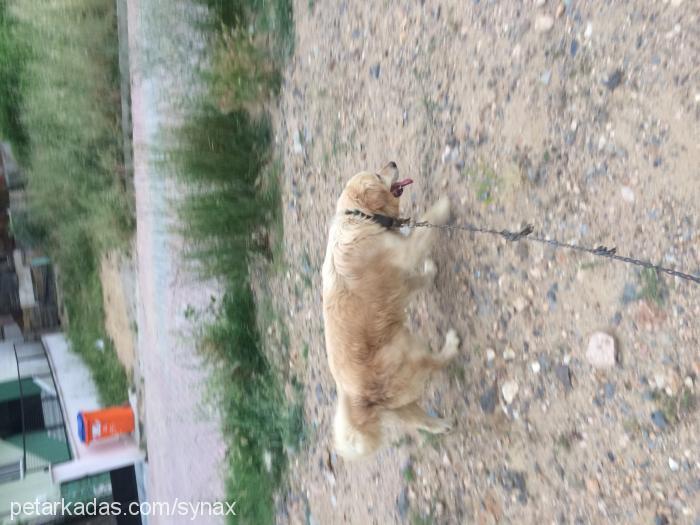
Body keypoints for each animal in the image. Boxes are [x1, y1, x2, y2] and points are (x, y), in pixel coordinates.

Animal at [322, 161, 460, 458]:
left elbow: (417, 280)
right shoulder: (406, 251)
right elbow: (428, 223)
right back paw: (451, 345)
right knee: (436, 362)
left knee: (420, 420)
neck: (360, 218)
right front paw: (444, 204)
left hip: (399, 400)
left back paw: (441, 426)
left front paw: (428, 273)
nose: (393, 163)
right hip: (405, 347)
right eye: (377, 175)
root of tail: (359, 400)